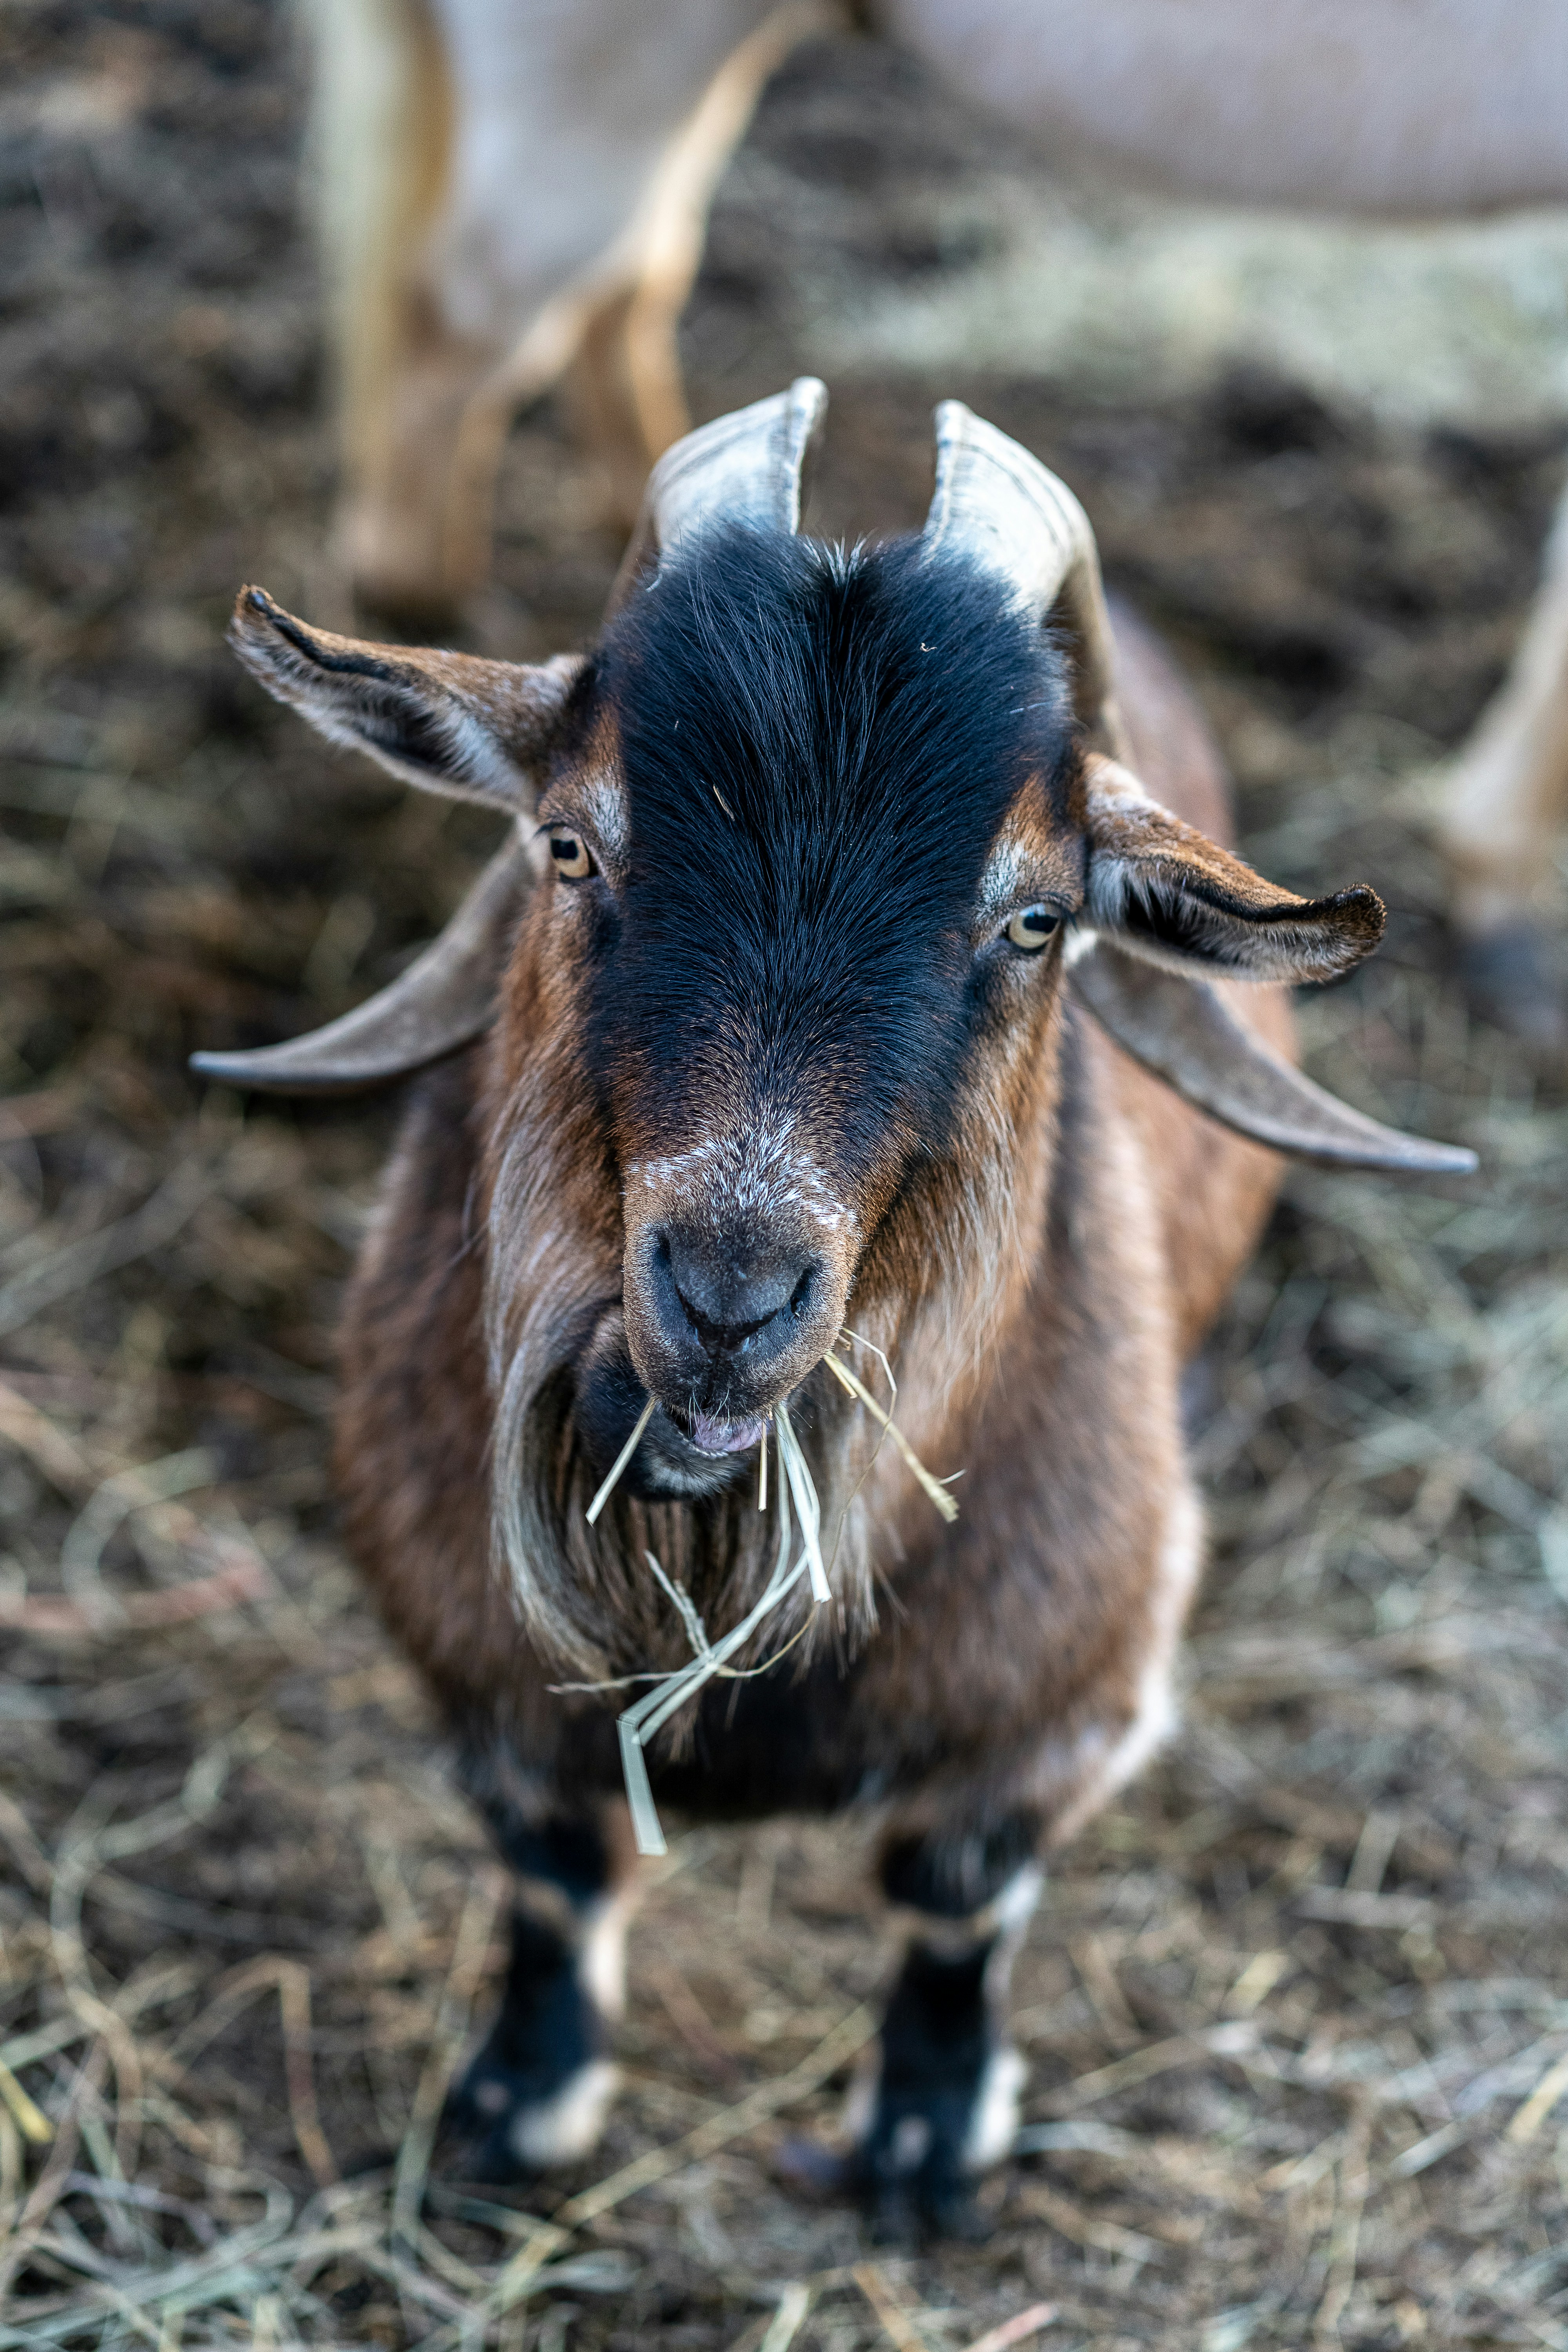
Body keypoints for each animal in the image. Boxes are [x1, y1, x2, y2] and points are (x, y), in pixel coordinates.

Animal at [197, 384, 1471, 2236]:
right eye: (568, 842)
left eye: (1034, 916)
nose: (728, 1293)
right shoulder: (470, 1671)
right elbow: (552, 1869)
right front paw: (518, 2106)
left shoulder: (1071, 1684)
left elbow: (952, 1890)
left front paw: (925, 2147)